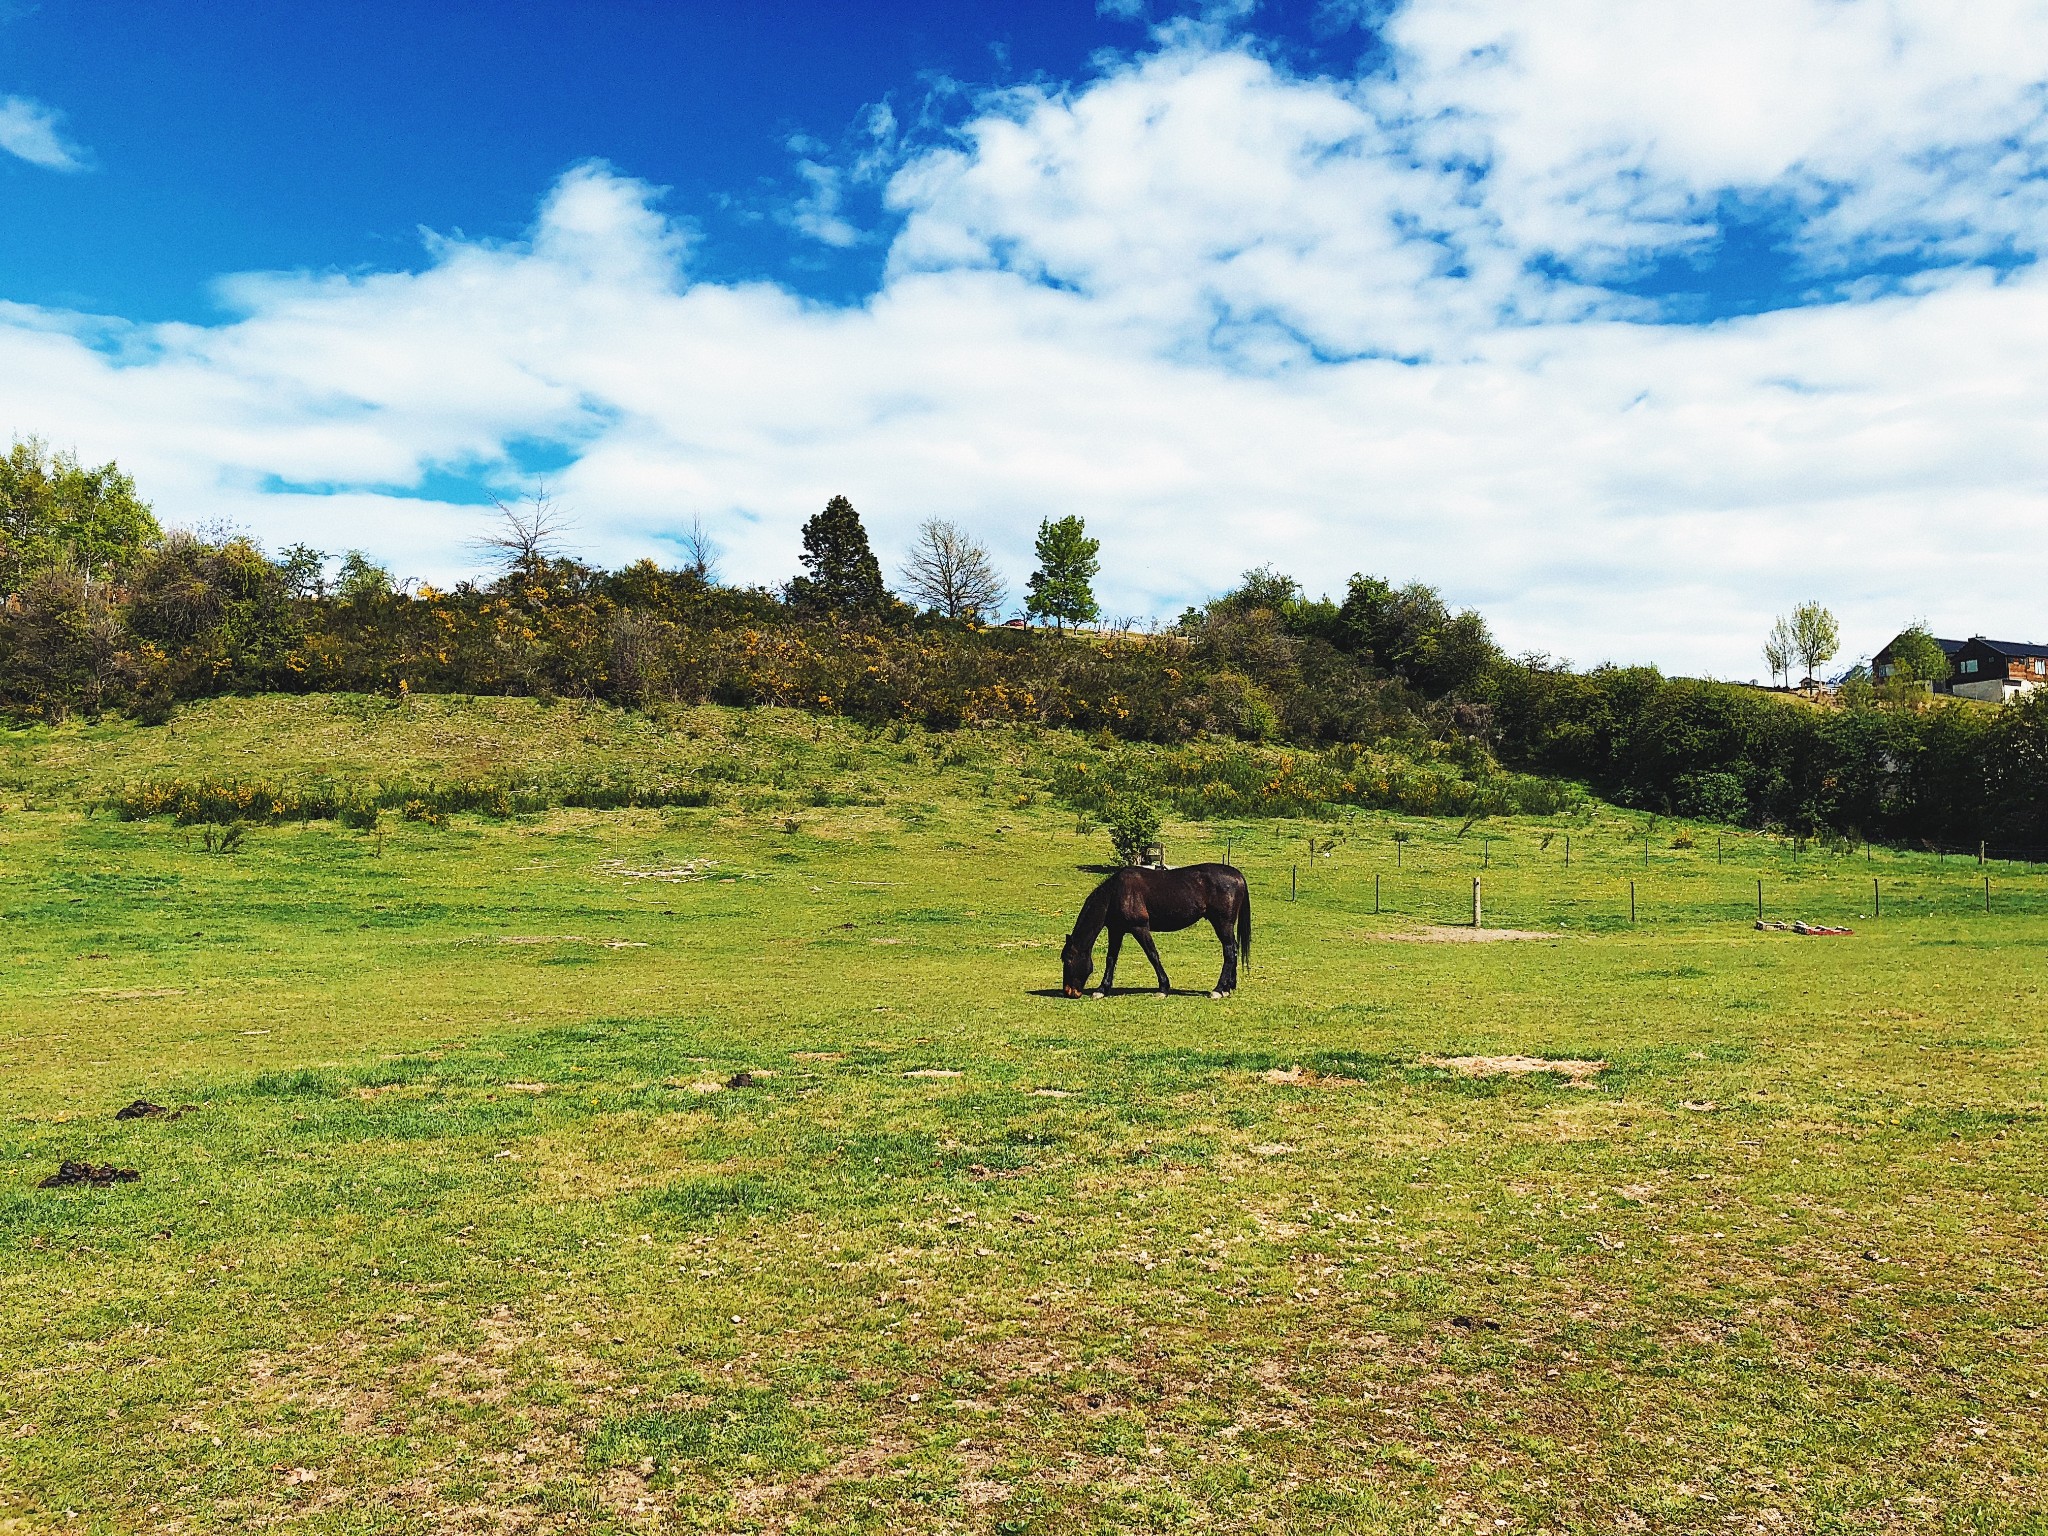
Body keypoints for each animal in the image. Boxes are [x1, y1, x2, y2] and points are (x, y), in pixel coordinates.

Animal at [1073, 860, 1245, 1003]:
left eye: (1068, 959)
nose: (1071, 992)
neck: (1117, 892)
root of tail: (1238, 876)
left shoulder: (1140, 928)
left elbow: (1153, 955)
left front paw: (1163, 988)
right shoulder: (1116, 930)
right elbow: (1111, 959)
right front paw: (1102, 989)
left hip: (1222, 924)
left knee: (1229, 951)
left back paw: (1218, 990)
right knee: (1234, 949)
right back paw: (1227, 988)